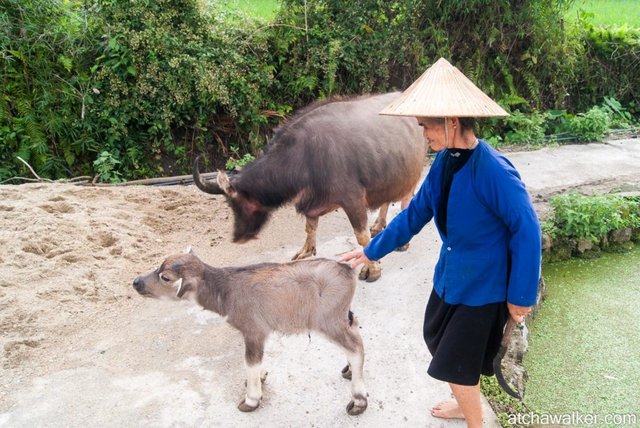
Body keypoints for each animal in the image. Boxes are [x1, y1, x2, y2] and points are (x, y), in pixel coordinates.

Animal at [132, 251, 368, 414]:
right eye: (158, 266)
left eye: (165, 277)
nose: (136, 282)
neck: (227, 292)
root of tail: (347, 270)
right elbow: (257, 361)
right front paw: (260, 377)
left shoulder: (253, 331)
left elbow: (250, 361)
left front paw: (251, 399)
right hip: (341, 317)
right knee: (355, 326)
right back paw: (348, 370)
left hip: (328, 321)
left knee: (356, 347)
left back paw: (358, 401)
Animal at [192, 92, 428, 280]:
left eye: (238, 204)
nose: (237, 237)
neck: (305, 156)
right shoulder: (312, 200)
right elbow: (310, 225)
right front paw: (306, 251)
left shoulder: (352, 199)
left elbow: (361, 236)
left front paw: (372, 269)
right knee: (388, 198)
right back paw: (379, 225)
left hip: (413, 169)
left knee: (407, 197)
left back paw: (402, 242)